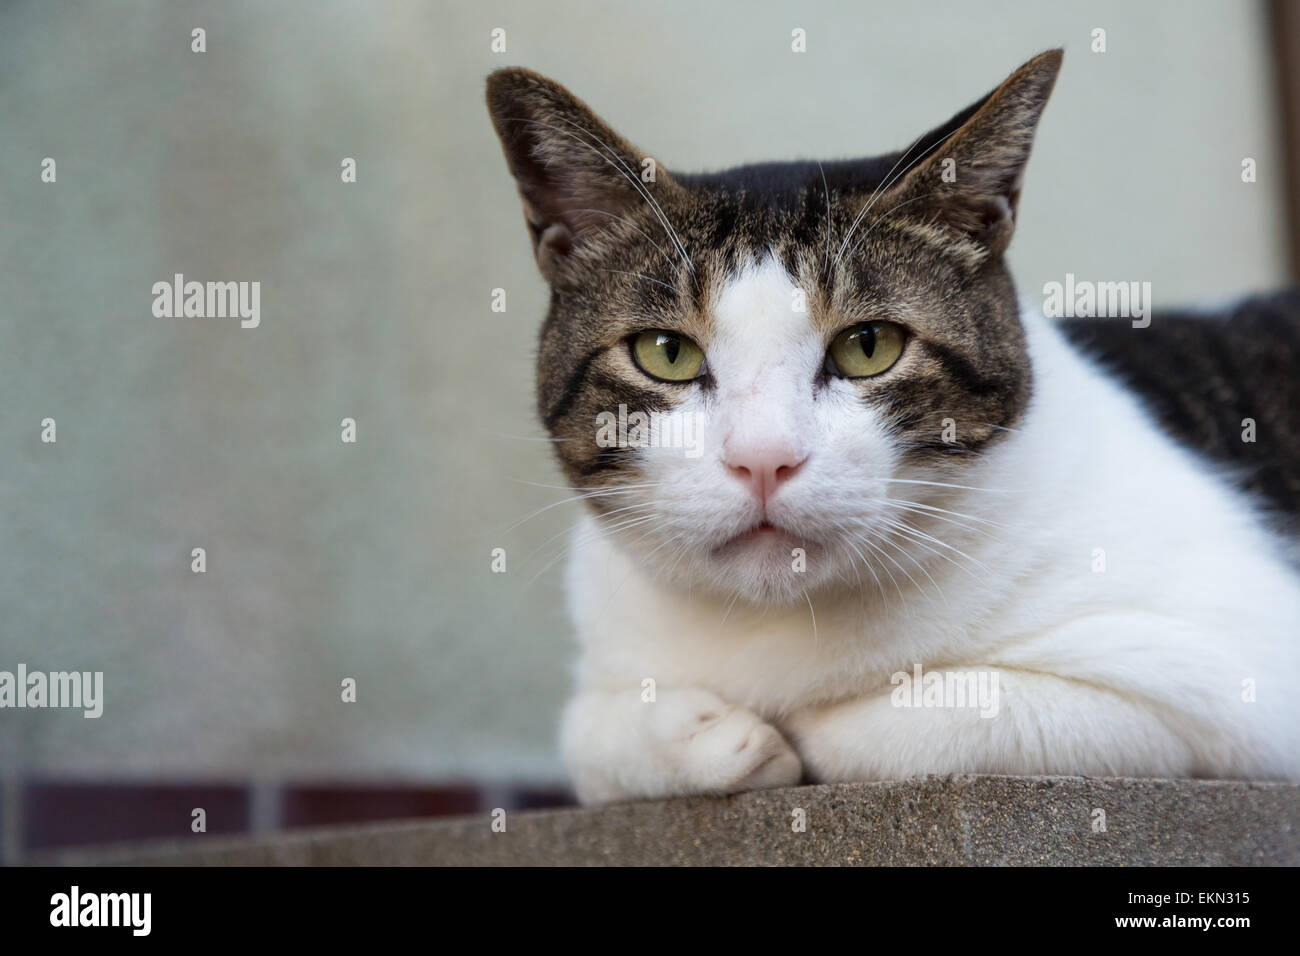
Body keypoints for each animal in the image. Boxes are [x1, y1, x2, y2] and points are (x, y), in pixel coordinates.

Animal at [486, 48, 1300, 806]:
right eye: (666, 353)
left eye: (868, 345)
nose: (763, 460)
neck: (774, 626)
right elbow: (586, 736)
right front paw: (704, 735)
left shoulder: (1231, 683)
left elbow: (943, 713)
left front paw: (794, 729)